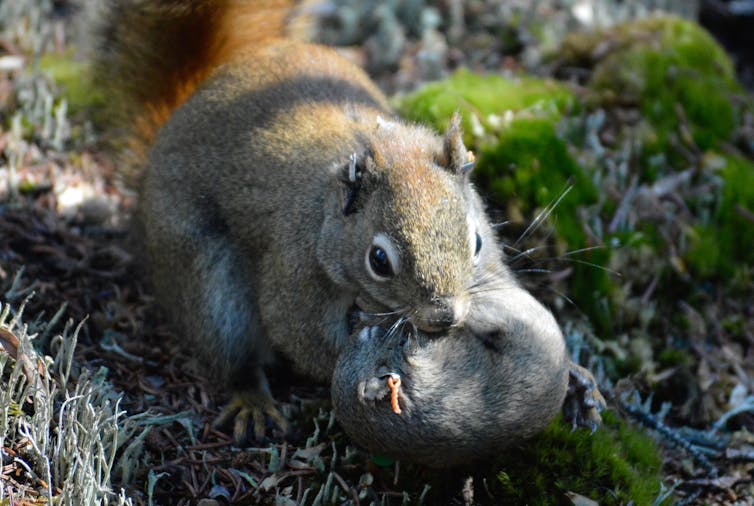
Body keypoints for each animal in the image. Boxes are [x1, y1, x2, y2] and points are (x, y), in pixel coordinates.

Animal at [94, 0, 604, 446]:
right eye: (378, 260)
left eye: (476, 242)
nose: (444, 318)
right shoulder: (295, 274)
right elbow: (307, 340)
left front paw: (577, 377)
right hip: (204, 274)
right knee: (228, 348)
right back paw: (252, 400)